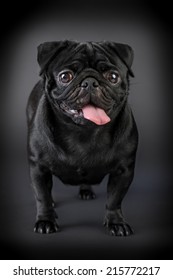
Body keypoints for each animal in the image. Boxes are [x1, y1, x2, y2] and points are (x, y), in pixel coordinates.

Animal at [26, 40, 139, 236]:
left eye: (113, 77)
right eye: (65, 76)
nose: (90, 82)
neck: (84, 132)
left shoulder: (123, 170)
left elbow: (115, 199)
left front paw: (116, 222)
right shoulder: (38, 168)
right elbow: (42, 196)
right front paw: (45, 220)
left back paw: (86, 190)